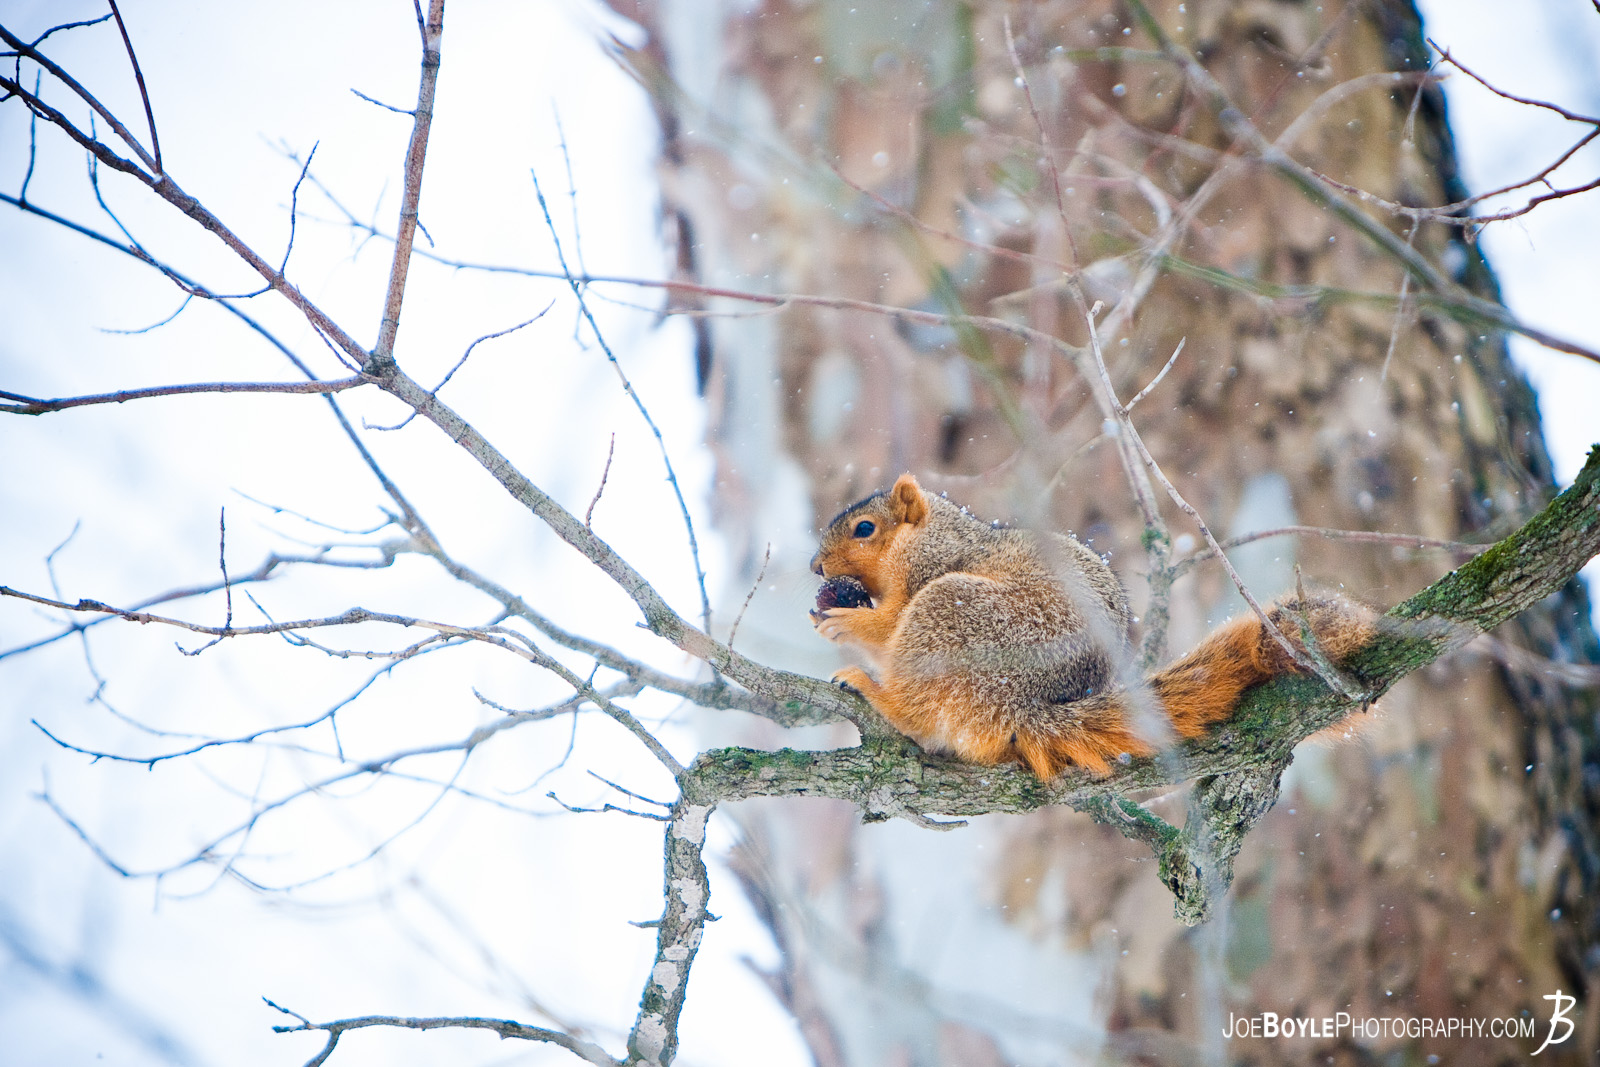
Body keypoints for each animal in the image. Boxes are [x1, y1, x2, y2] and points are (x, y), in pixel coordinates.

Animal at [810, 473, 1376, 778]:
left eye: (865, 529)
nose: (816, 568)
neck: (935, 533)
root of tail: (1022, 708)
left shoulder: (931, 569)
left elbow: (888, 626)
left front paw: (846, 620)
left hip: (953, 615)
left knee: (915, 709)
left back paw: (877, 693)